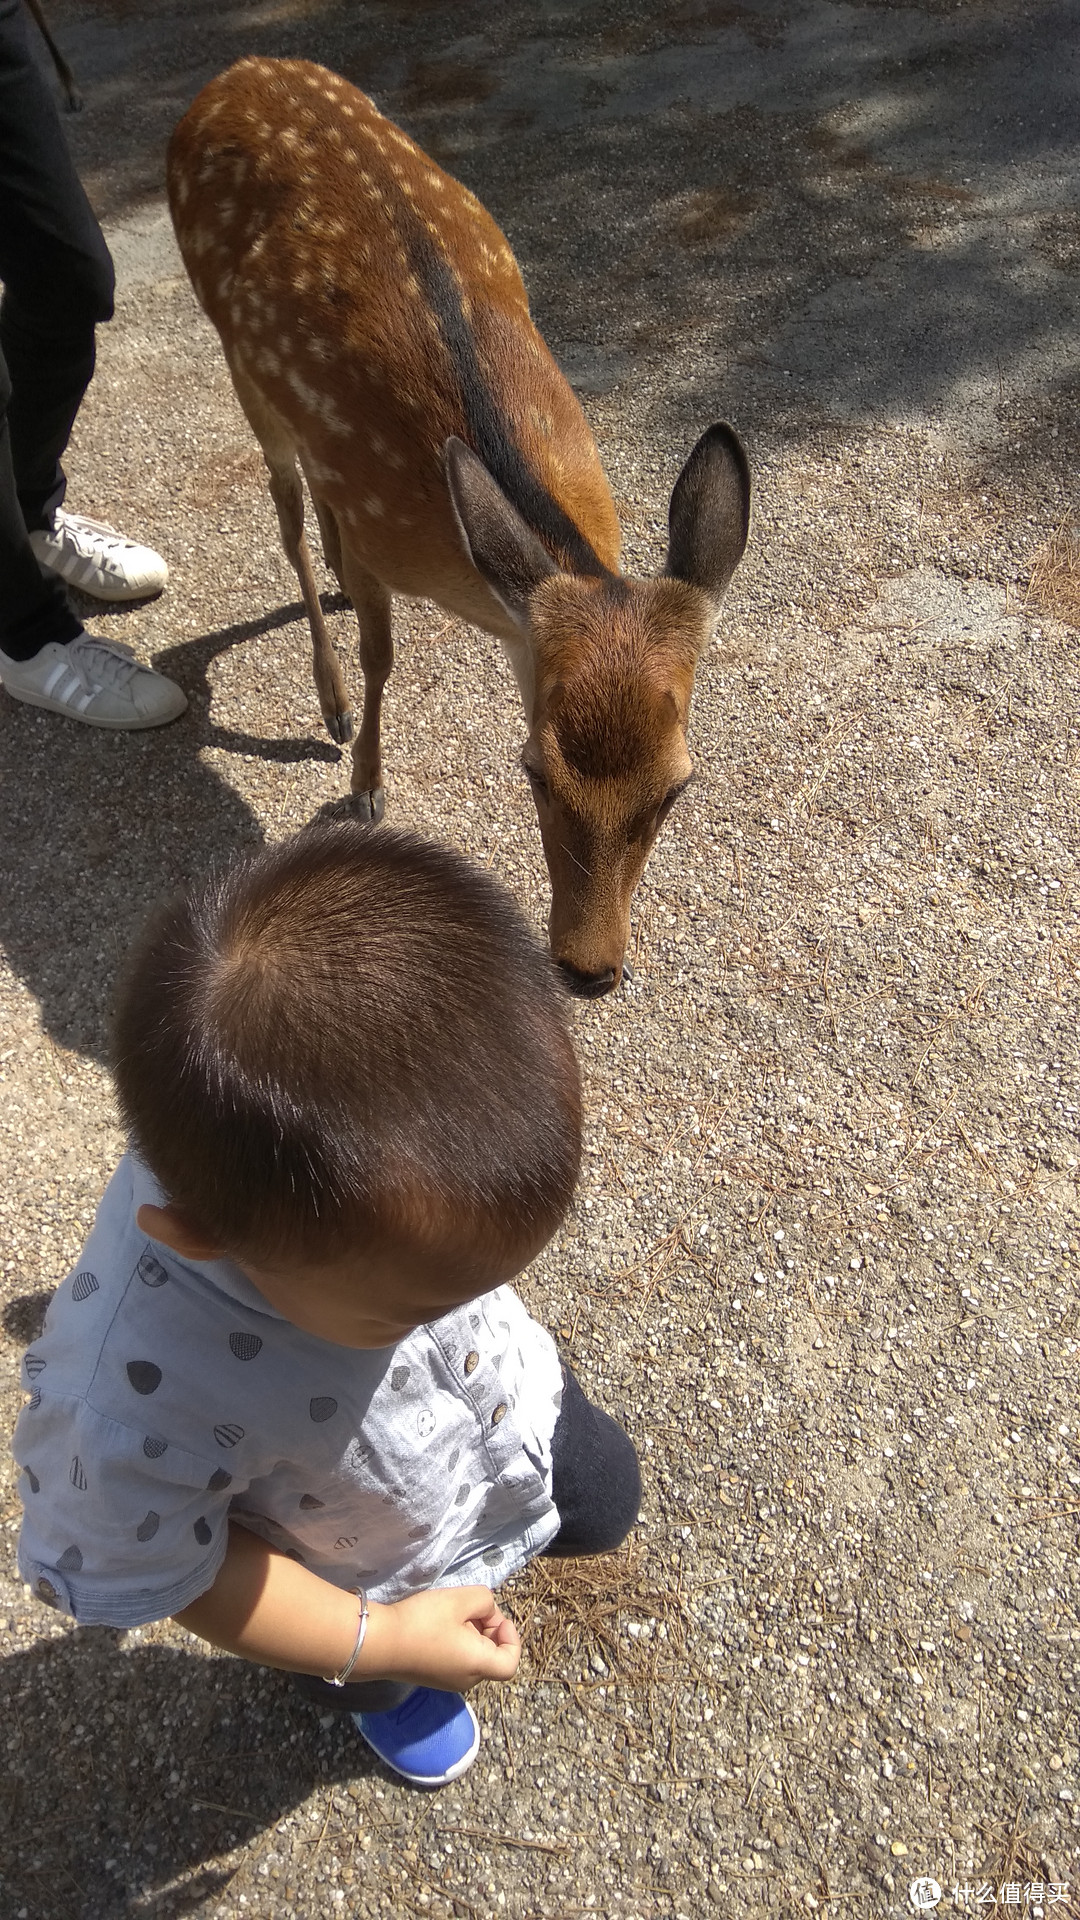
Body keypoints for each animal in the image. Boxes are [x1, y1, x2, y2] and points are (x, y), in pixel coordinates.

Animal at [166, 58, 749, 998]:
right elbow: (382, 657)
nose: (589, 968)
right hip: (237, 360)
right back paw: (328, 697)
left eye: (676, 787)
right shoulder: (382, 536)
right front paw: (365, 785)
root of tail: (234, 71)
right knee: (284, 513)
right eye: (533, 770)